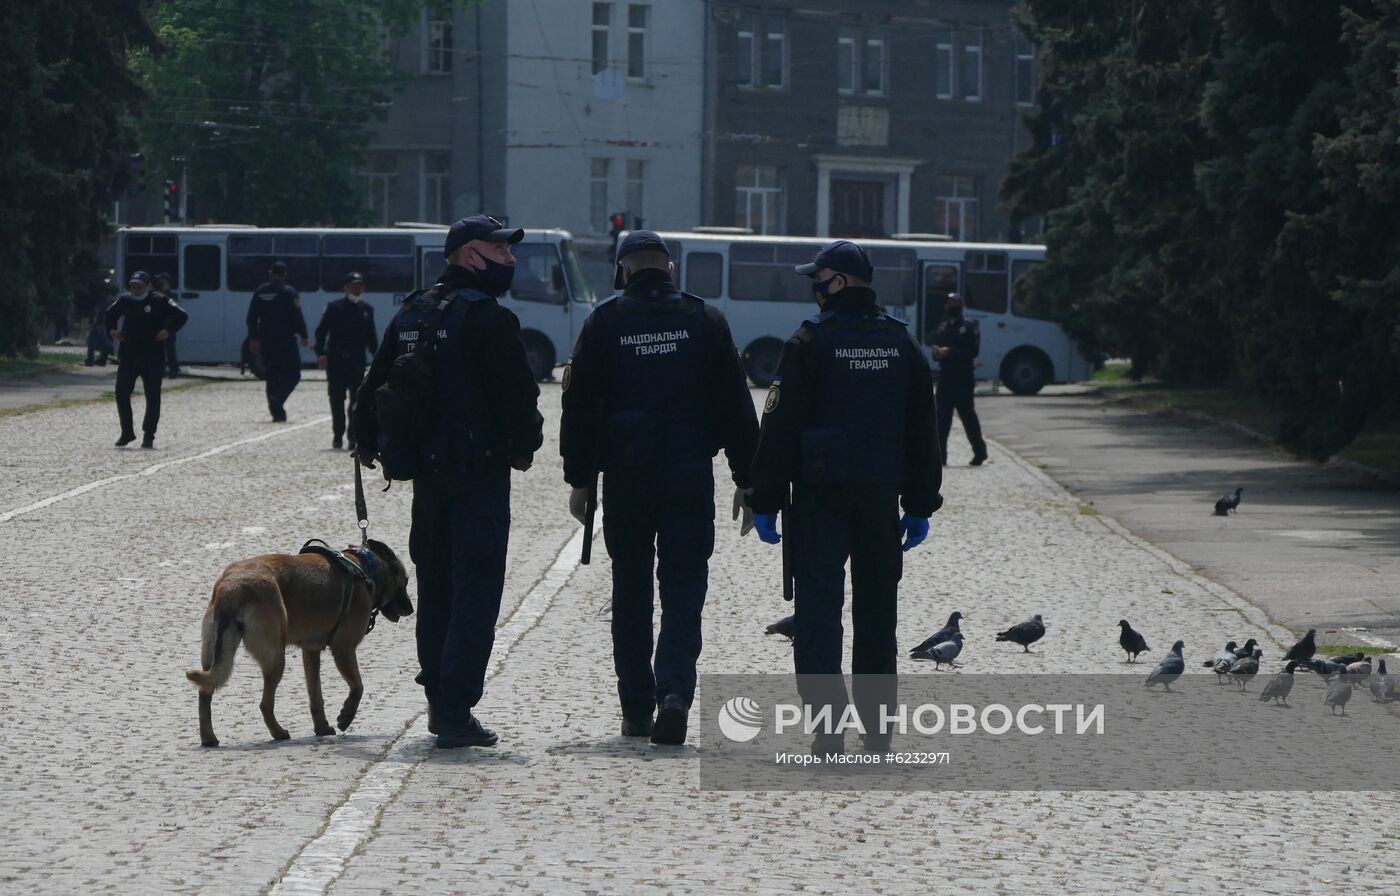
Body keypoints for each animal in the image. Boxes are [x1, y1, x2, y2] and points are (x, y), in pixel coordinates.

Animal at [184, 537, 408, 750]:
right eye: (406, 581)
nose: (411, 609)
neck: (365, 566)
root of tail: (230, 587)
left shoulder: (310, 652)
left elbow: (316, 696)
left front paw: (322, 728)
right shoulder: (343, 649)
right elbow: (358, 687)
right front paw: (346, 717)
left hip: (214, 656)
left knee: (205, 693)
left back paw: (209, 738)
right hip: (276, 658)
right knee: (265, 704)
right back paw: (278, 733)